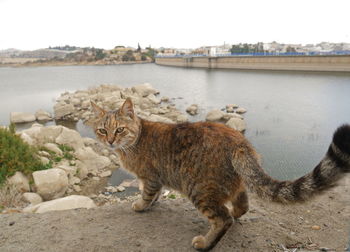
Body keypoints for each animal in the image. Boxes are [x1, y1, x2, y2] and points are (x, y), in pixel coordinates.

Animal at [91, 98, 350, 250]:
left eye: (120, 130)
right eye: (103, 130)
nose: (110, 141)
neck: (135, 140)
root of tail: (239, 141)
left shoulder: (151, 177)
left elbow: (147, 194)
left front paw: (141, 206)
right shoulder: (157, 179)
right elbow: (155, 194)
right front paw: (151, 204)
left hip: (199, 190)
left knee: (223, 218)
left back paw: (205, 242)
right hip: (231, 185)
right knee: (241, 205)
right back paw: (236, 213)